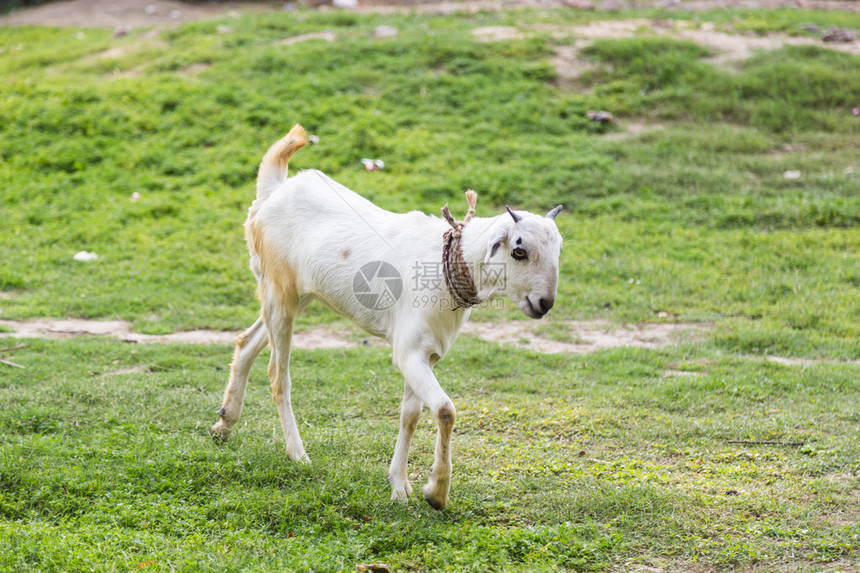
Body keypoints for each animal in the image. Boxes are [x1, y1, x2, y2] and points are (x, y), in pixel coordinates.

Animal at [212, 125, 564, 510]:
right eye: (519, 250)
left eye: (559, 249)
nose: (544, 302)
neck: (447, 262)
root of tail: (274, 189)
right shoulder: (408, 351)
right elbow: (445, 410)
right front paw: (436, 492)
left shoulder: (425, 353)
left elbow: (411, 415)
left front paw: (400, 486)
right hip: (279, 290)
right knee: (278, 374)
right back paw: (298, 454)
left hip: (297, 295)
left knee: (247, 341)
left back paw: (224, 424)